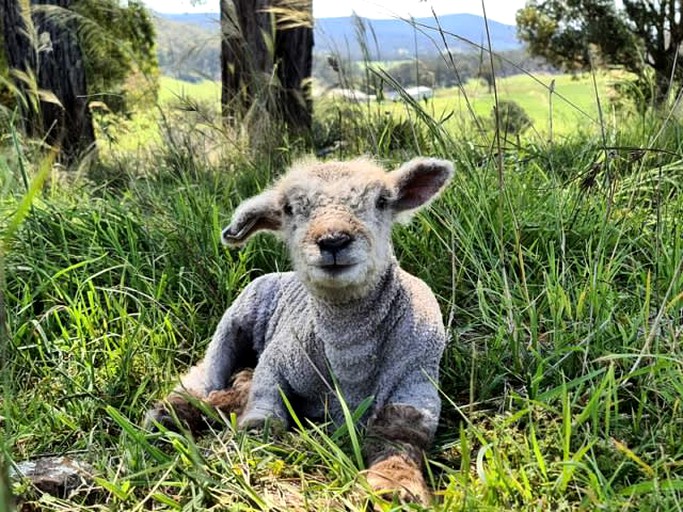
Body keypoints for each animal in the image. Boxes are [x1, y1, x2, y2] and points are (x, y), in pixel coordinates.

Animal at [146, 158, 454, 506]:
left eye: (381, 201)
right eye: (289, 209)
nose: (333, 241)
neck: (349, 356)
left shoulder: (416, 377)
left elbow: (400, 431)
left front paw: (394, 486)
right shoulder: (276, 361)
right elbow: (263, 421)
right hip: (234, 322)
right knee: (207, 373)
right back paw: (174, 412)